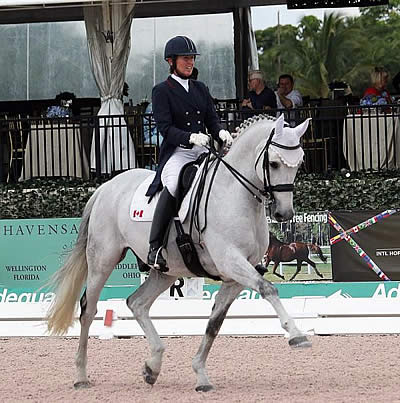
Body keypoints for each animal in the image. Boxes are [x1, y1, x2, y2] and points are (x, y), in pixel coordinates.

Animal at [45, 113, 310, 392]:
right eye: (274, 163)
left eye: (299, 163)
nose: (284, 214)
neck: (234, 194)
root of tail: (105, 187)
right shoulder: (231, 261)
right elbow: (268, 289)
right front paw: (296, 335)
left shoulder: (236, 276)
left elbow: (215, 323)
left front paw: (201, 375)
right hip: (102, 260)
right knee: (88, 309)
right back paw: (81, 375)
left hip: (167, 271)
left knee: (137, 302)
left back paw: (152, 367)